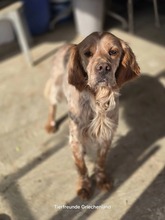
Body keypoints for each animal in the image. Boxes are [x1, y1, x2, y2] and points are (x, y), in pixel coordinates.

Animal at [44, 32, 140, 199]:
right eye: (87, 53)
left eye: (113, 52)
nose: (103, 68)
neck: (98, 101)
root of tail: (64, 45)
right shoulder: (76, 138)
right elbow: (81, 167)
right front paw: (84, 187)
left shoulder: (106, 136)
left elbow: (101, 162)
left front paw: (102, 180)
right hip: (56, 88)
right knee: (52, 104)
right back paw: (50, 124)